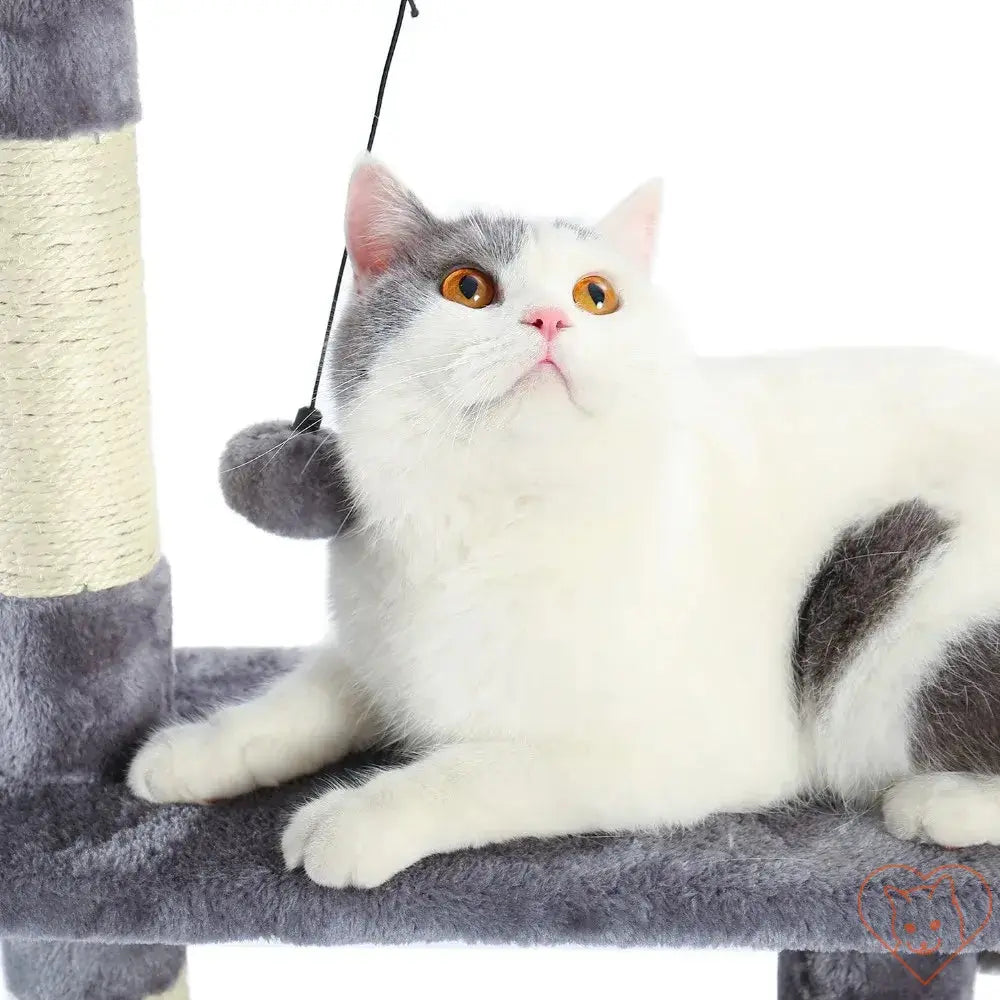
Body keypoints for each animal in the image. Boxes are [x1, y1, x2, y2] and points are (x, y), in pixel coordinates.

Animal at [127, 152, 1000, 888]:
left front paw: (355, 815)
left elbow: (484, 767)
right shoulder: (378, 645)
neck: (494, 519)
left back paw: (939, 803)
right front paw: (196, 750)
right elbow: (305, 698)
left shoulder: (682, 747)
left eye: (596, 294)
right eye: (468, 288)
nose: (550, 320)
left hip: (878, 606)